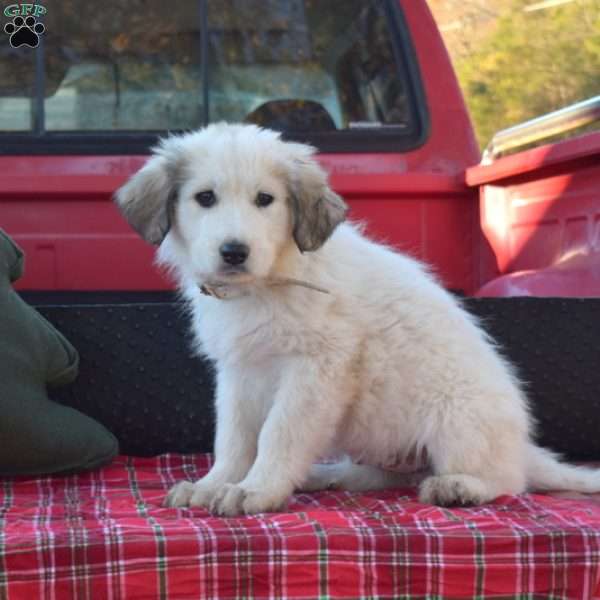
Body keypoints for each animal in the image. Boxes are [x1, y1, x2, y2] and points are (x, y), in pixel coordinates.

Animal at [115, 123, 600, 516]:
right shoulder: (239, 371)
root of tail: (520, 447)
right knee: (388, 477)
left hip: (459, 419)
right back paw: (324, 476)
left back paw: (460, 486)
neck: (268, 283)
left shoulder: (317, 367)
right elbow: (233, 437)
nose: (234, 252)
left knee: (506, 481)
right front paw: (214, 483)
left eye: (265, 200)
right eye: (205, 198)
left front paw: (256, 489)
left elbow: (278, 433)